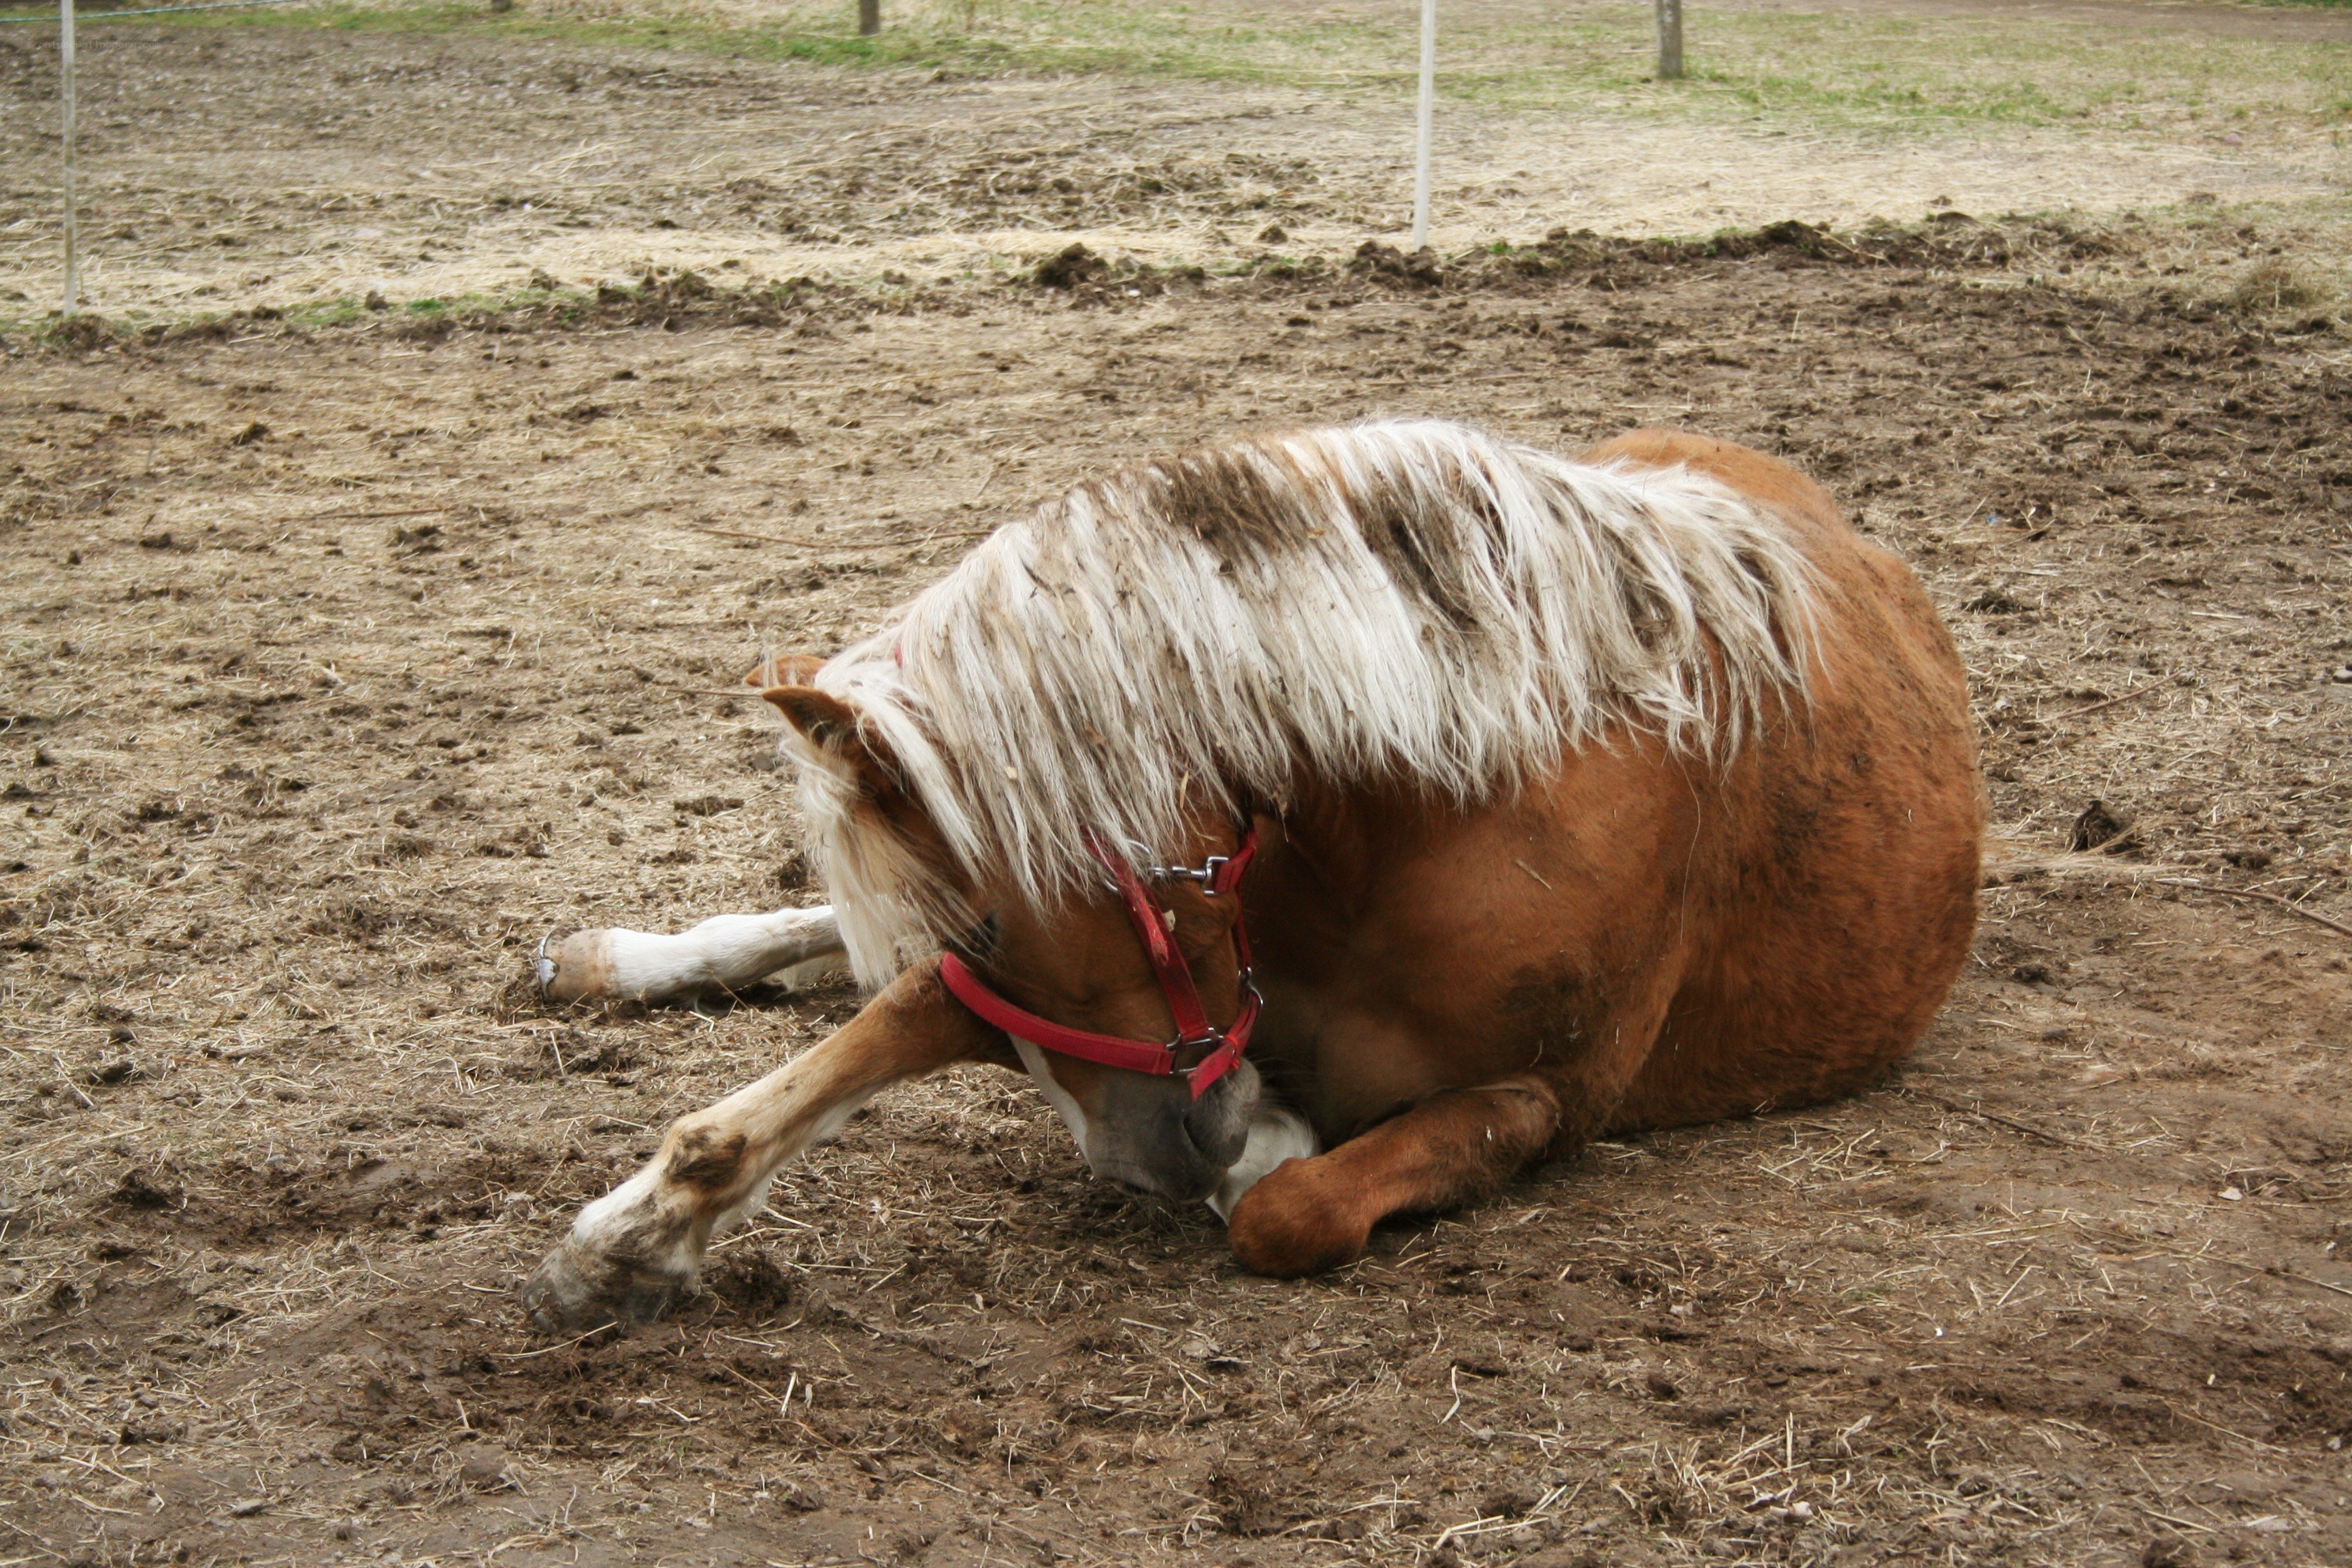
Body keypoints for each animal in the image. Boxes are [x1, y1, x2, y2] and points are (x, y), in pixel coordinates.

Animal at [521, 419, 1983, 1333]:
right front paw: (630, 1233)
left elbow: (1285, 1204)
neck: (1427, 810)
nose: (1148, 1162)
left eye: (997, 919)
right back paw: (617, 958)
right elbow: (855, 1038)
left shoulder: (1551, 1098)